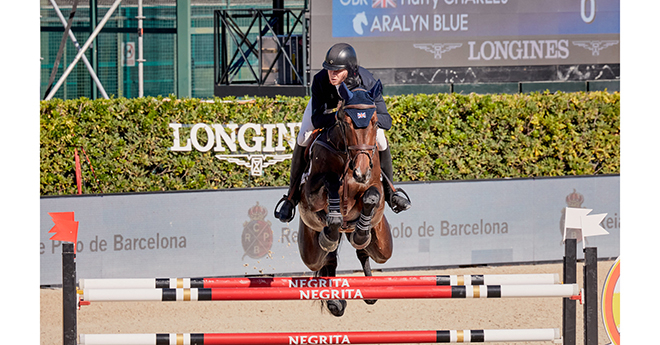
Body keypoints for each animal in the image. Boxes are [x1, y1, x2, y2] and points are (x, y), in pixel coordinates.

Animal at [296, 80, 392, 318]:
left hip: (383, 245)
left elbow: (372, 196)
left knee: (364, 252)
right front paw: (334, 216)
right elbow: (330, 184)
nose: (361, 173)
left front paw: (361, 231)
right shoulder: (310, 195)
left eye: (374, 122)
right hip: (310, 250)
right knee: (326, 259)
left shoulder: (376, 192)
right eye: (346, 123)